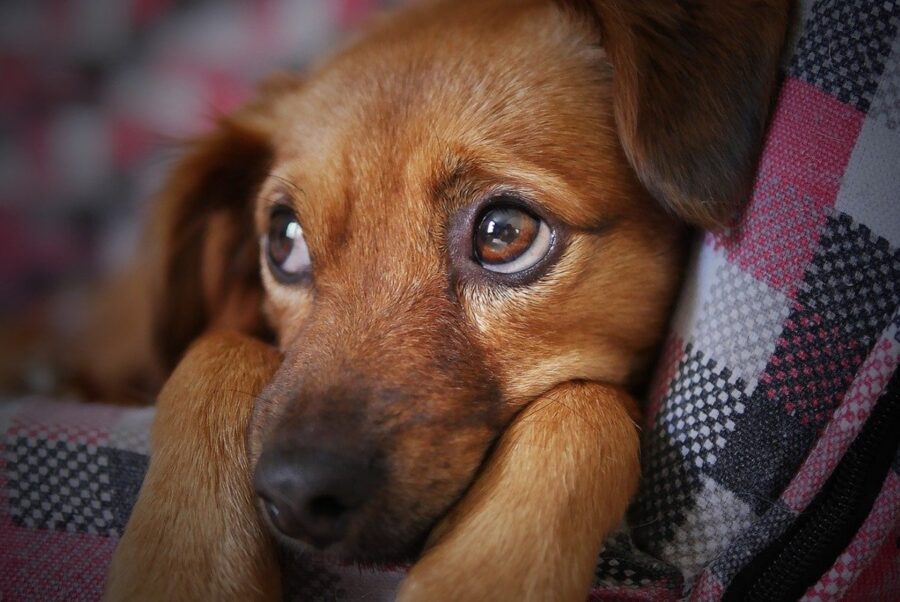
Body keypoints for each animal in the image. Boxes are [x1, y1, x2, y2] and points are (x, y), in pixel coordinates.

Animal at [96, 2, 788, 596]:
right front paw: (184, 568)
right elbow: (216, 347)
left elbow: (584, 405)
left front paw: (480, 575)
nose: (294, 495)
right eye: (284, 240)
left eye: (504, 233)